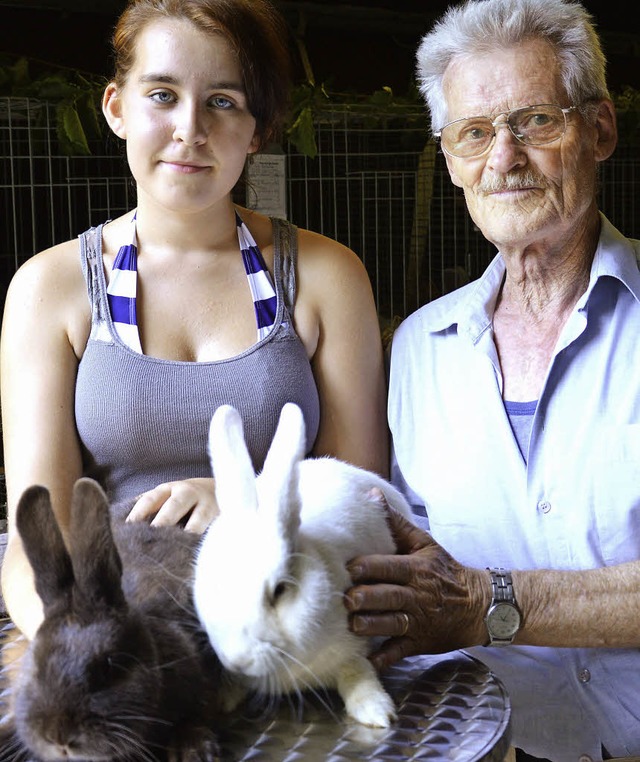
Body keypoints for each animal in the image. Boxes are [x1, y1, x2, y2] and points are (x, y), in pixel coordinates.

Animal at [194, 400, 416, 728]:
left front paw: (377, 713)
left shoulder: (354, 649)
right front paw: (222, 698)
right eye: (218, 586)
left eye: (280, 591)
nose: (238, 659)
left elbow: (358, 673)